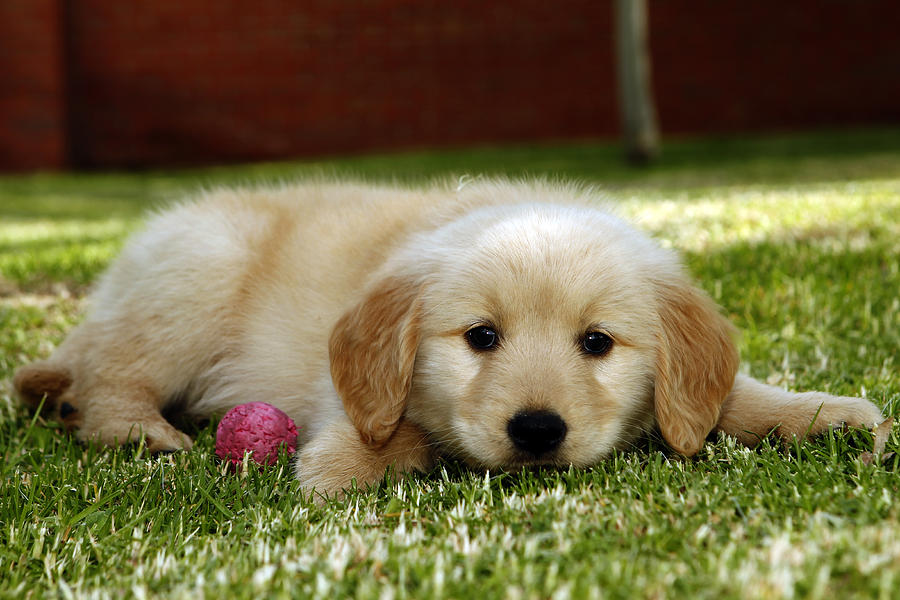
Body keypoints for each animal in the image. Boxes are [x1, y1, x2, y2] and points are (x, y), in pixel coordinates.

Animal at [12, 179, 884, 496]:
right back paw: (141, 432)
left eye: (598, 344)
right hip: (193, 281)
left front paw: (823, 418)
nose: (537, 431)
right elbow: (385, 432)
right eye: (481, 337)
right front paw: (359, 461)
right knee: (106, 376)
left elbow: (732, 396)